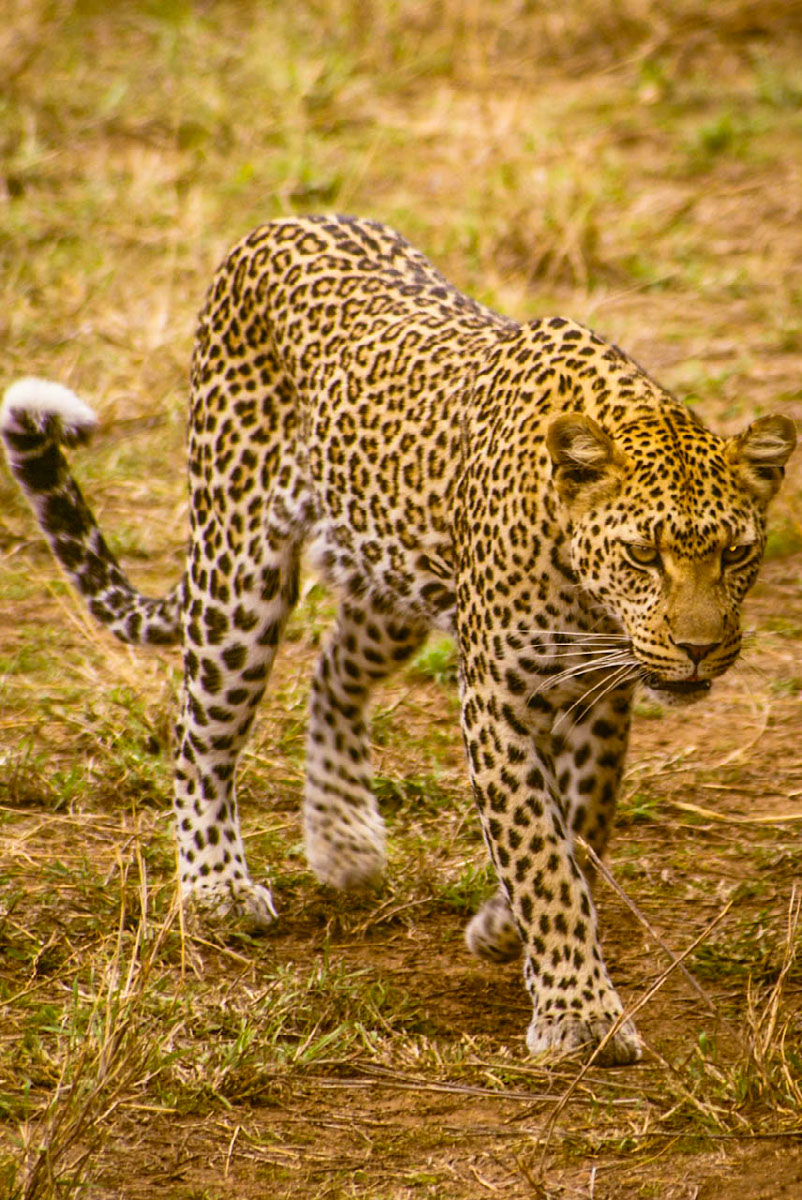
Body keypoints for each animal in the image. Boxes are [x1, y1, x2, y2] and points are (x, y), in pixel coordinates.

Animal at [2, 215, 796, 1066]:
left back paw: (344, 838)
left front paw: (506, 929)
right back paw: (217, 885)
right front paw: (578, 1011)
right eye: (644, 555)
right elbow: (541, 854)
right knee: (201, 736)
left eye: (738, 554)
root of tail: (277, 225)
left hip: (397, 583)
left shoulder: (596, 700)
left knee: (331, 676)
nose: (700, 649)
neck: (585, 589)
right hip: (238, 574)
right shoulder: (498, 699)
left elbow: (579, 834)